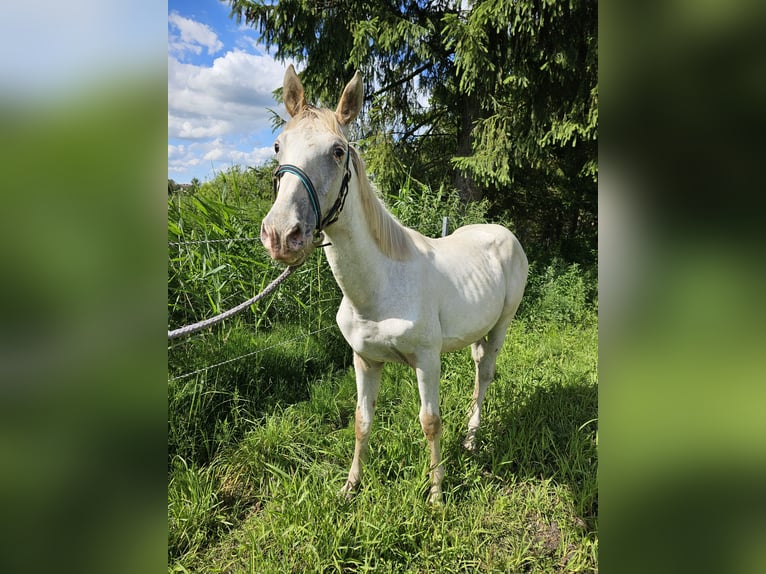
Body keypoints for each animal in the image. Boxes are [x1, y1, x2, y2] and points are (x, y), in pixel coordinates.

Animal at [262, 65, 528, 502]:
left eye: (338, 151)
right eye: (277, 147)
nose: (282, 236)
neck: (380, 288)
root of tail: (503, 233)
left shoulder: (427, 360)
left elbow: (430, 422)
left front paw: (436, 495)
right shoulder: (364, 360)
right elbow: (361, 421)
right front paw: (350, 487)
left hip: (504, 324)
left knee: (486, 374)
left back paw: (472, 441)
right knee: (478, 369)